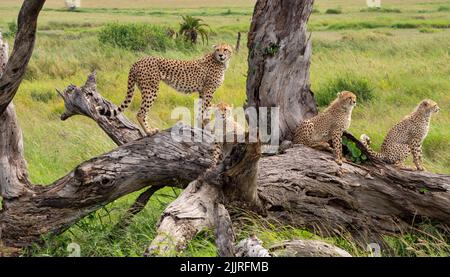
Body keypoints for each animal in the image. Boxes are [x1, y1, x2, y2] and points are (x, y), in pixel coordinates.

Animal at [100, 43, 234, 135]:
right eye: (218, 49)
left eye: (225, 49)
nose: (221, 55)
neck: (220, 62)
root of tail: (139, 60)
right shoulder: (209, 90)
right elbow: (205, 109)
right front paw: (207, 128)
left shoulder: (202, 91)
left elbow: (200, 109)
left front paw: (200, 128)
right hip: (151, 89)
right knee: (140, 113)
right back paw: (149, 132)